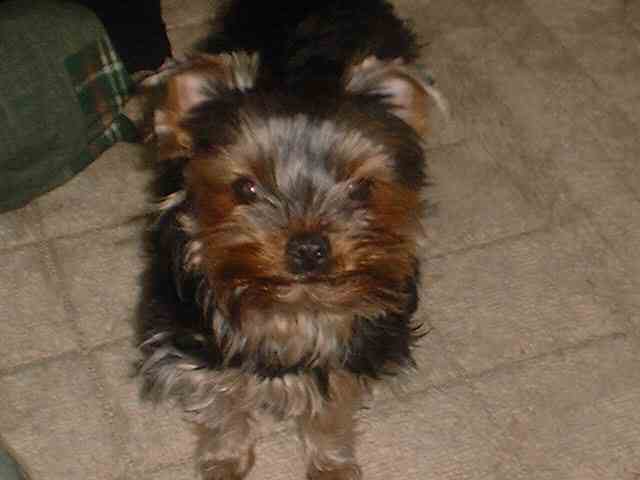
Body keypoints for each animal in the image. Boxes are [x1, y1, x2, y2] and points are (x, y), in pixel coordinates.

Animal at [137, 1, 440, 478]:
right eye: (245, 188)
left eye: (361, 189)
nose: (309, 248)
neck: (292, 308)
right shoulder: (192, 343)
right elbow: (221, 402)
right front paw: (225, 459)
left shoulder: (355, 349)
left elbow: (331, 406)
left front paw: (331, 464)